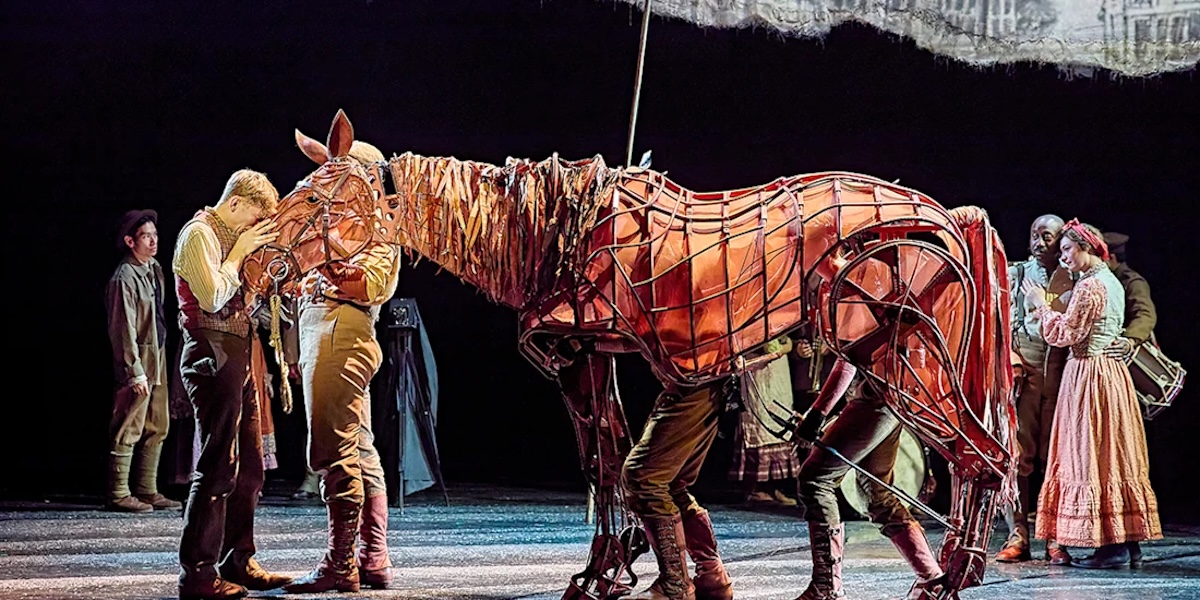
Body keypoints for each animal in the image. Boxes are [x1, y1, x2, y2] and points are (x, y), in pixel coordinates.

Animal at [245, 109, 1016, 600]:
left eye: (316, 198)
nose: (255, 266)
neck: (550, 234)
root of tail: (948, 215)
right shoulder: (599, 353)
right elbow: (613, 462)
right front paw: (619, 568)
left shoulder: (574, 353)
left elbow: (604, 465)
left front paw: (604, 573)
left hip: (911, 362)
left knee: (986, 457)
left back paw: (954, 576)